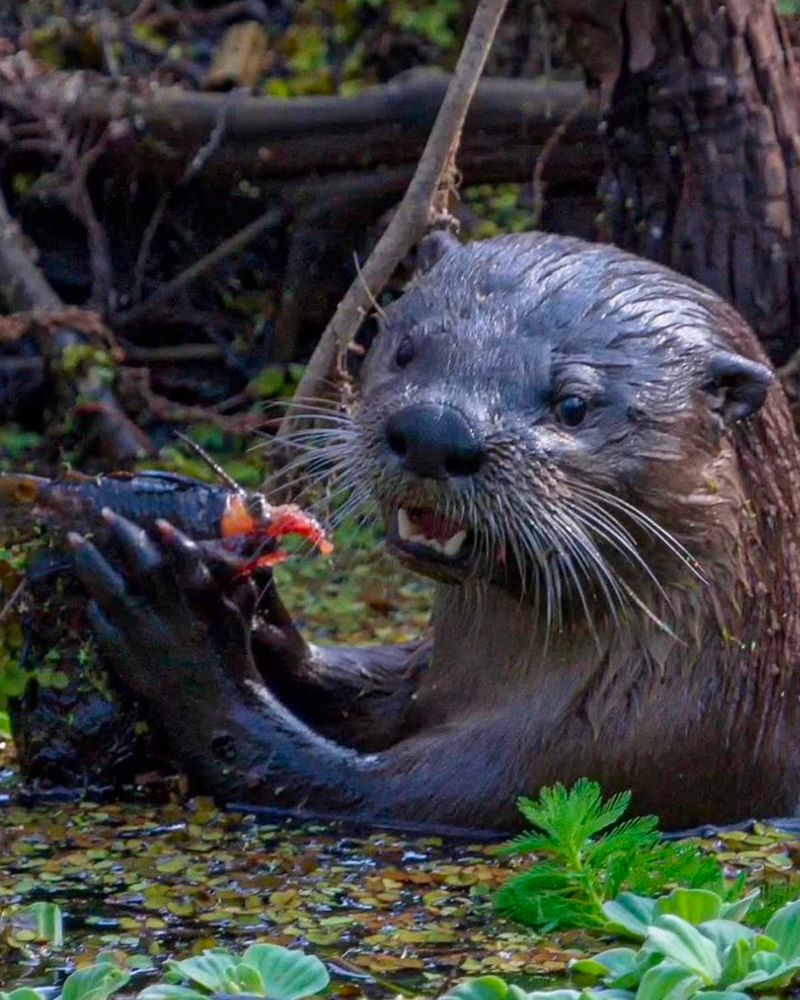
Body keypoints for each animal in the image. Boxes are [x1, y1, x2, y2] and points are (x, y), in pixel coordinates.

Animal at [68, 233, 800, 831]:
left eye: (573, 405)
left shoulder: (602, 763)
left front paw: (179, 627)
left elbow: (321, 781)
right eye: (406, 348)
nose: (433, 431)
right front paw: (254, 603)